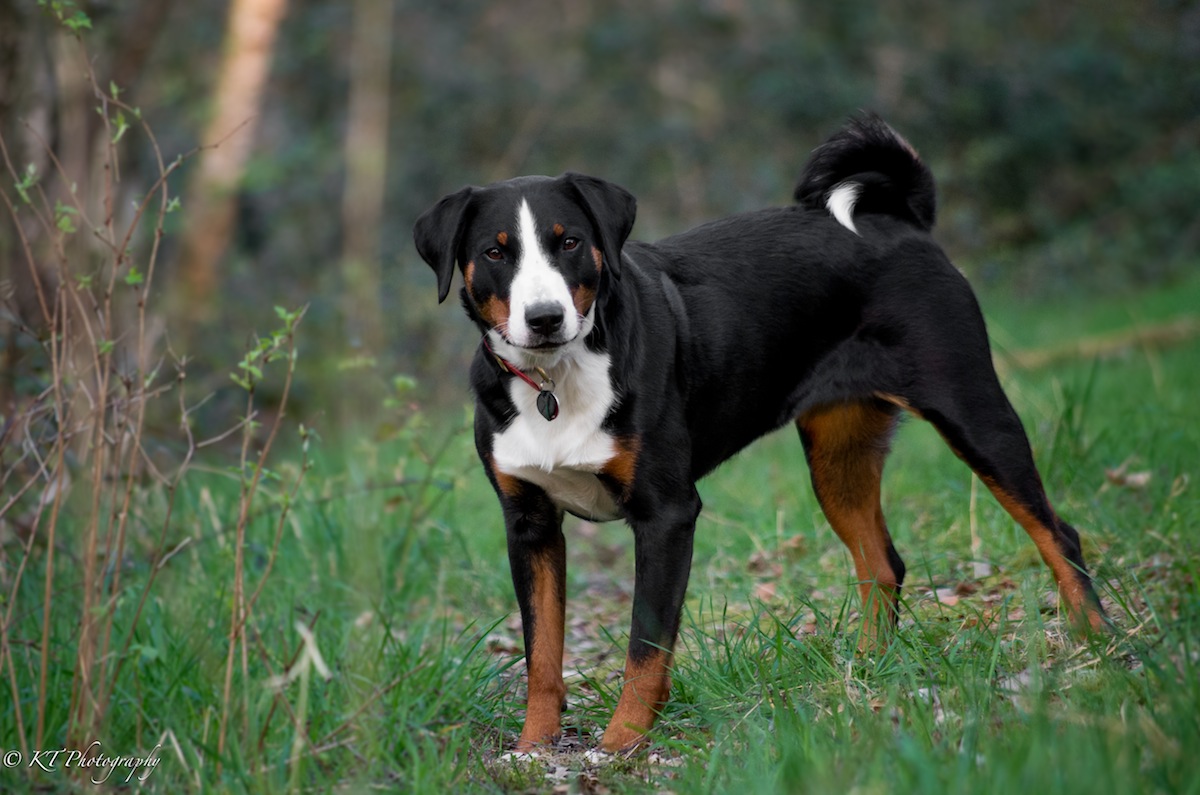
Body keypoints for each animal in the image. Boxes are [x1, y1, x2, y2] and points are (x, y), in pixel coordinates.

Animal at [413, 115, 1106, 755]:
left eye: (570, 242)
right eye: (497, 252)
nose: (545, 317)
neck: (557, 382)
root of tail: (900, 224)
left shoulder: (666, 514)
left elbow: (646, 644)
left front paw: (622, 744)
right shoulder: (528, 523)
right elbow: (543, 653)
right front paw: (533, 748)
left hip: (974, 412)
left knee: (1057, 533)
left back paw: (1100, 644)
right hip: (838, 458)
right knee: (882, 564)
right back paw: (869, 670)